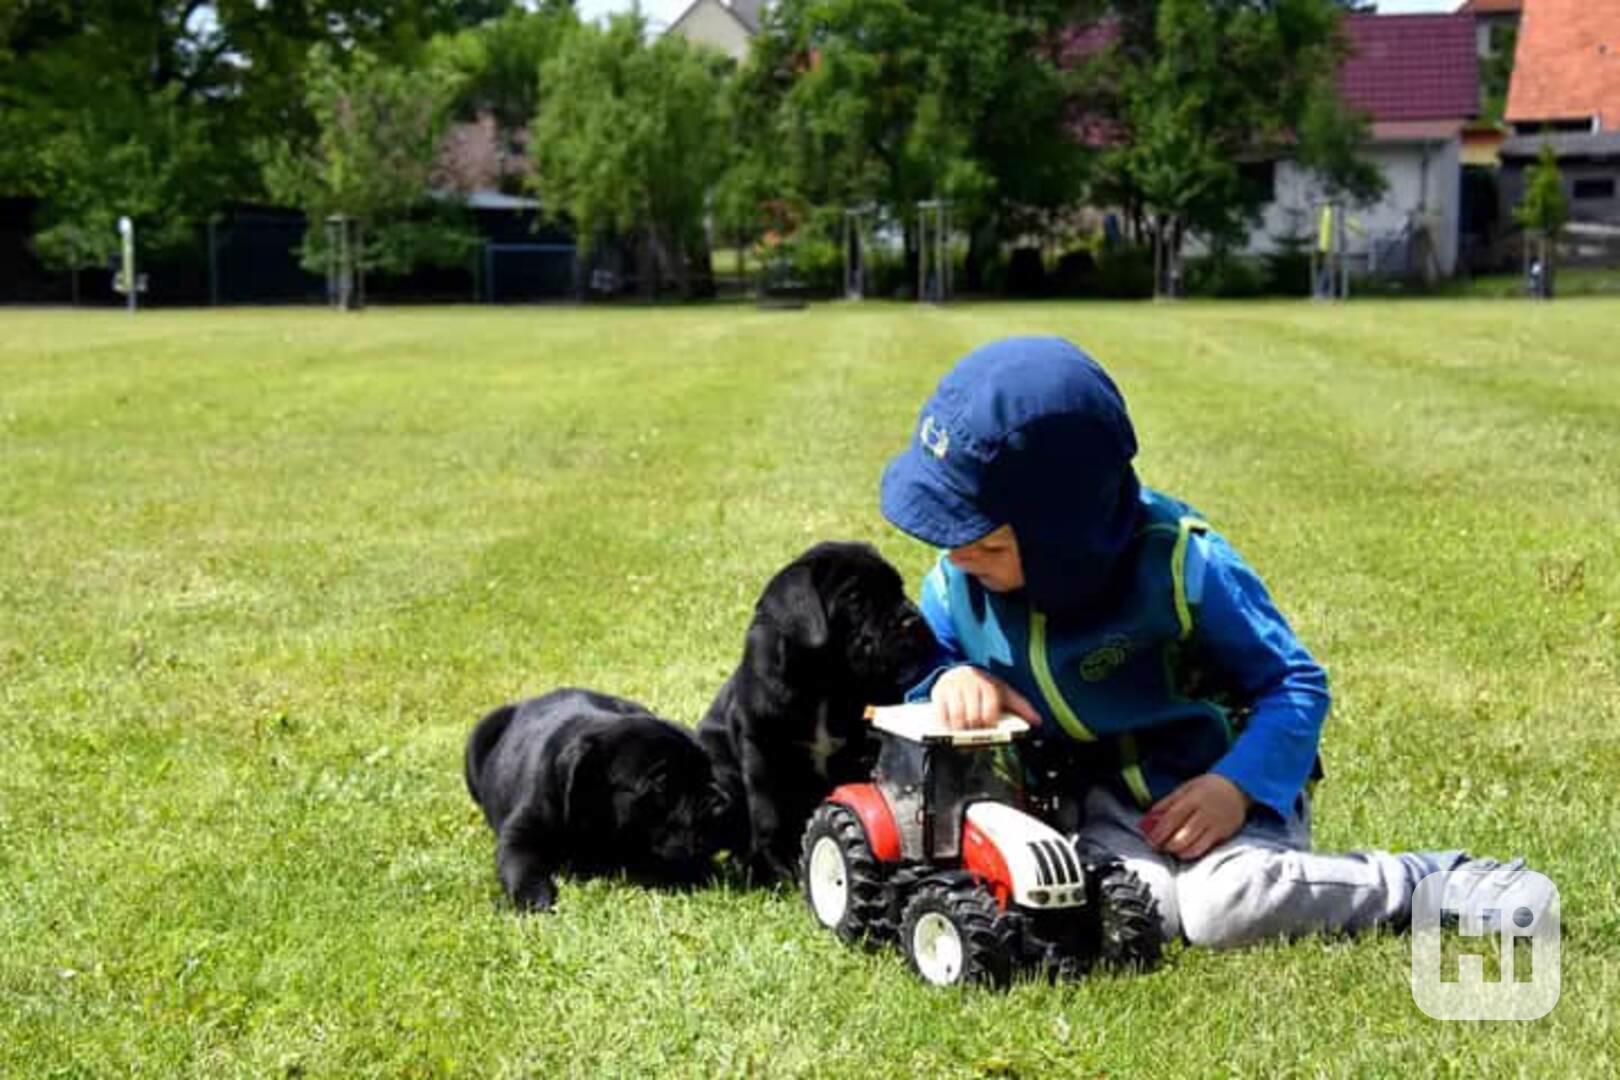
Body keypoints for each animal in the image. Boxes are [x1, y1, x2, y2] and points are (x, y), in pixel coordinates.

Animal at [466, 689, 725, 906]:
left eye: (708, 771)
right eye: (661, 784)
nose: (720, 805)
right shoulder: (519, 834)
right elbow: (520, 865)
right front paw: (534, 899)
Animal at [696, 544, 939, 880]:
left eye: (899, 588)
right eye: (855, 597)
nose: (912, 619)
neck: (825, 682)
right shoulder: (762, 750)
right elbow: (768, 814)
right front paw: (780, 866)